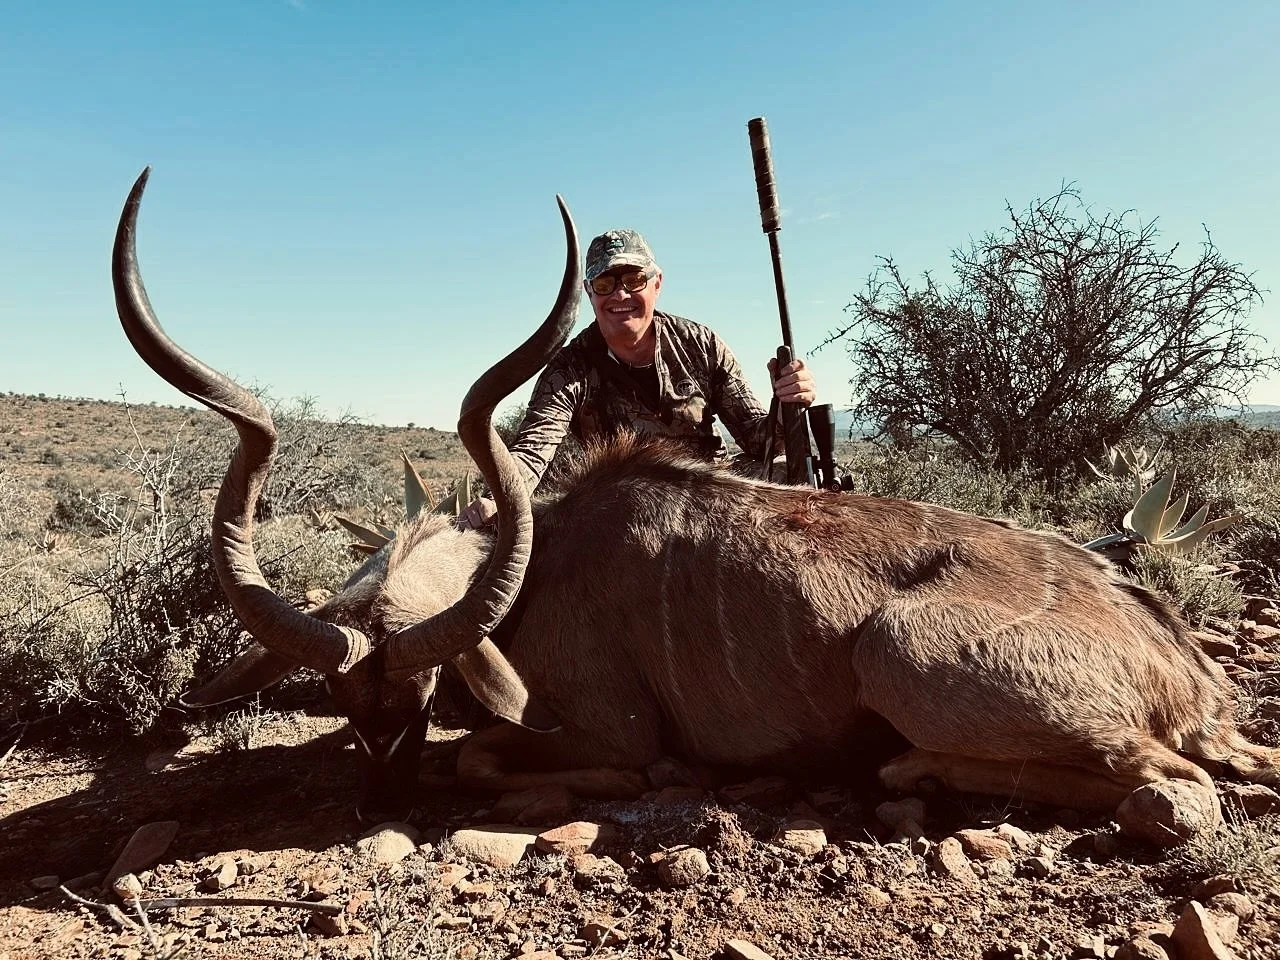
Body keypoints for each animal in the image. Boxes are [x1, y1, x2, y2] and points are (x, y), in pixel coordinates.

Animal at [112, 169, 1278, 824]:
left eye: (420, 695)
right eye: (348, 708)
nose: (376, 802)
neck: (541, 562)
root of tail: (1188, 673)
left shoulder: (609, 731)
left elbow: (497, 753)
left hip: (900, 649)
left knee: (1173, 795)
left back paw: (906, 770)